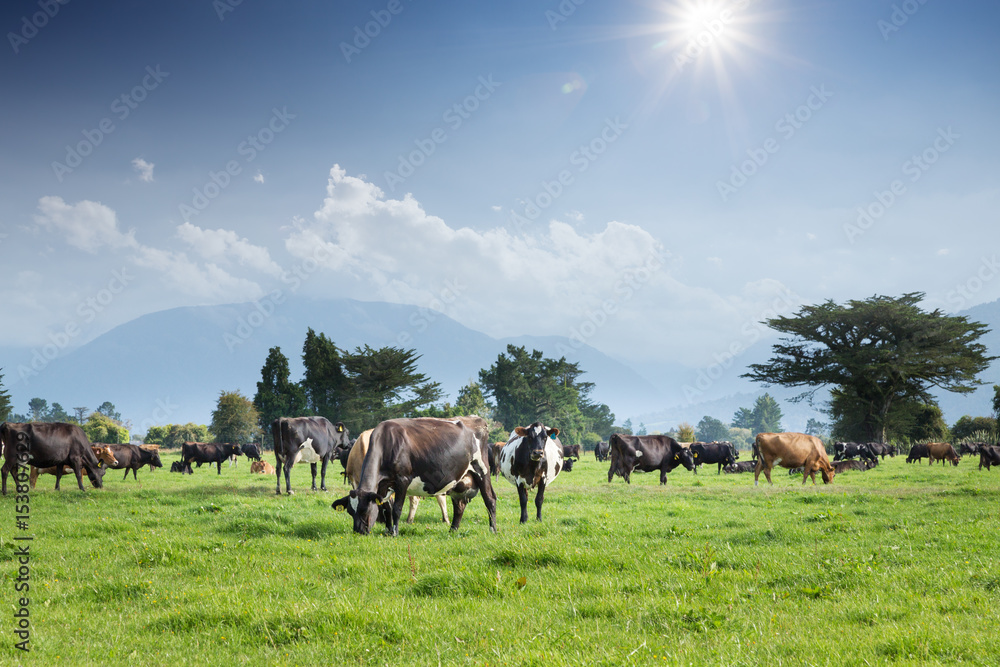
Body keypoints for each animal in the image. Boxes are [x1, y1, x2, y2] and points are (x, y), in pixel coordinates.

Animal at [332, 418, 496, 536]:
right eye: (350, 512)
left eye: (365, 510)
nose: (358, 532)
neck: (386, 443)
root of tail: (477, 419)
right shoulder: (383, 486)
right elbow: (386, 508)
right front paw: (387, 530)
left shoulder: (402, 480)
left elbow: (397, 508)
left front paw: (395, 533)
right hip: (460, 480)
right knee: (459, 505)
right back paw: (453, 530)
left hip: (482, 470)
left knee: (490, 499)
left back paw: (493, 530)